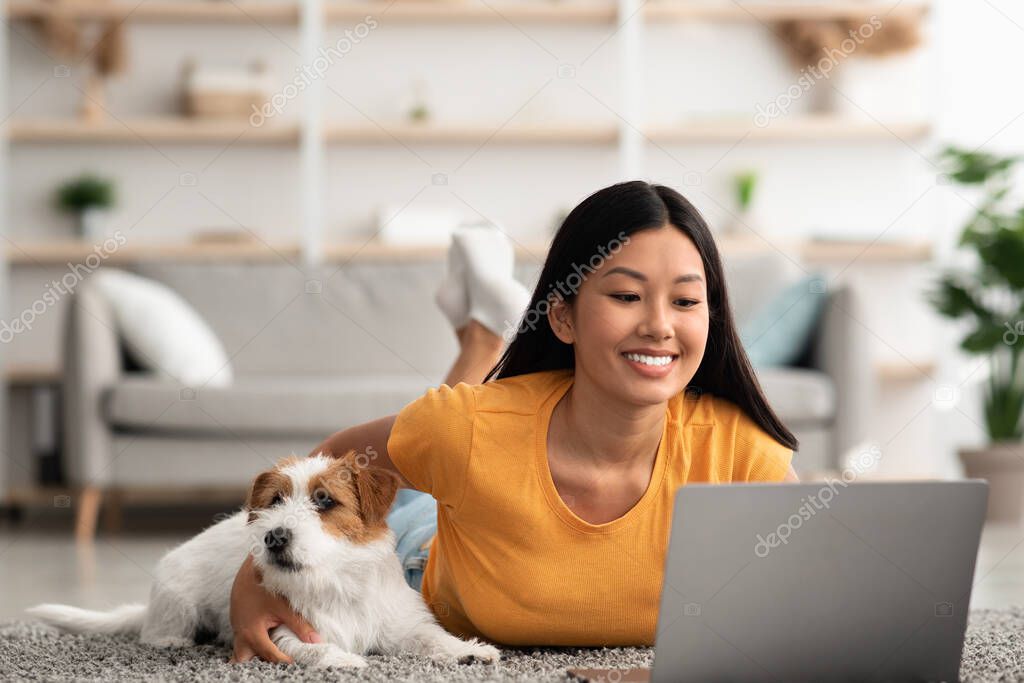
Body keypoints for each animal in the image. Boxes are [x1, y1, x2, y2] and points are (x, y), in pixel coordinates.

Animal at [25, 450, 497, 671]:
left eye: (325, 501)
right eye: (275, 501)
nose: (274, 536)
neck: (333, 581)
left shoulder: (399, 623)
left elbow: (431, 637)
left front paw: (467, 651)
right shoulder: (278, 631)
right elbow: (312, 647)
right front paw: (341, 659)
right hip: (177, 601)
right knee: (153, 631)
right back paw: (173, 640)